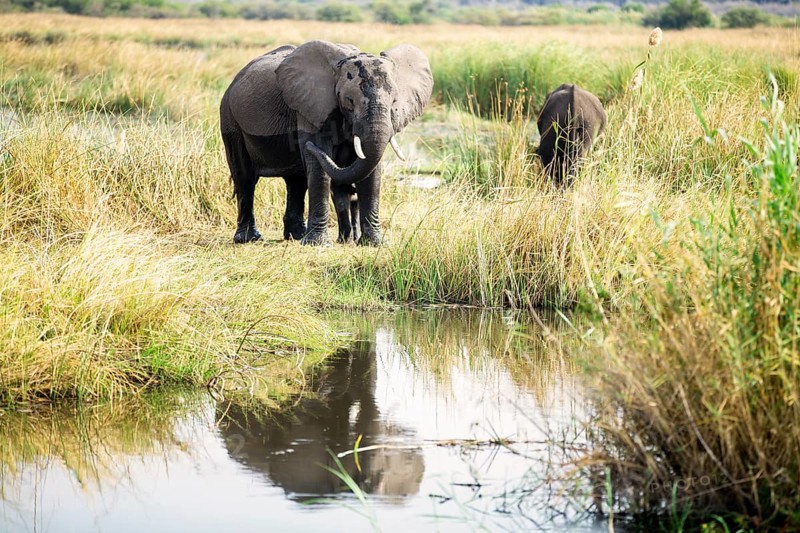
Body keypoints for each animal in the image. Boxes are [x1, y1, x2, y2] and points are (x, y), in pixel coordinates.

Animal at [220, 40, 433, 245]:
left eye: (394, 102)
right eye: (349, 100)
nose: (307, 147)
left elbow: (372, 170)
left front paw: (375, 243)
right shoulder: (310, 107)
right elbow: (319, 166)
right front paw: (317, 244)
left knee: (296, 182)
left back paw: (296, 235)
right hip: (229, 118)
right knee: (245, 177)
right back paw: (249, 239)